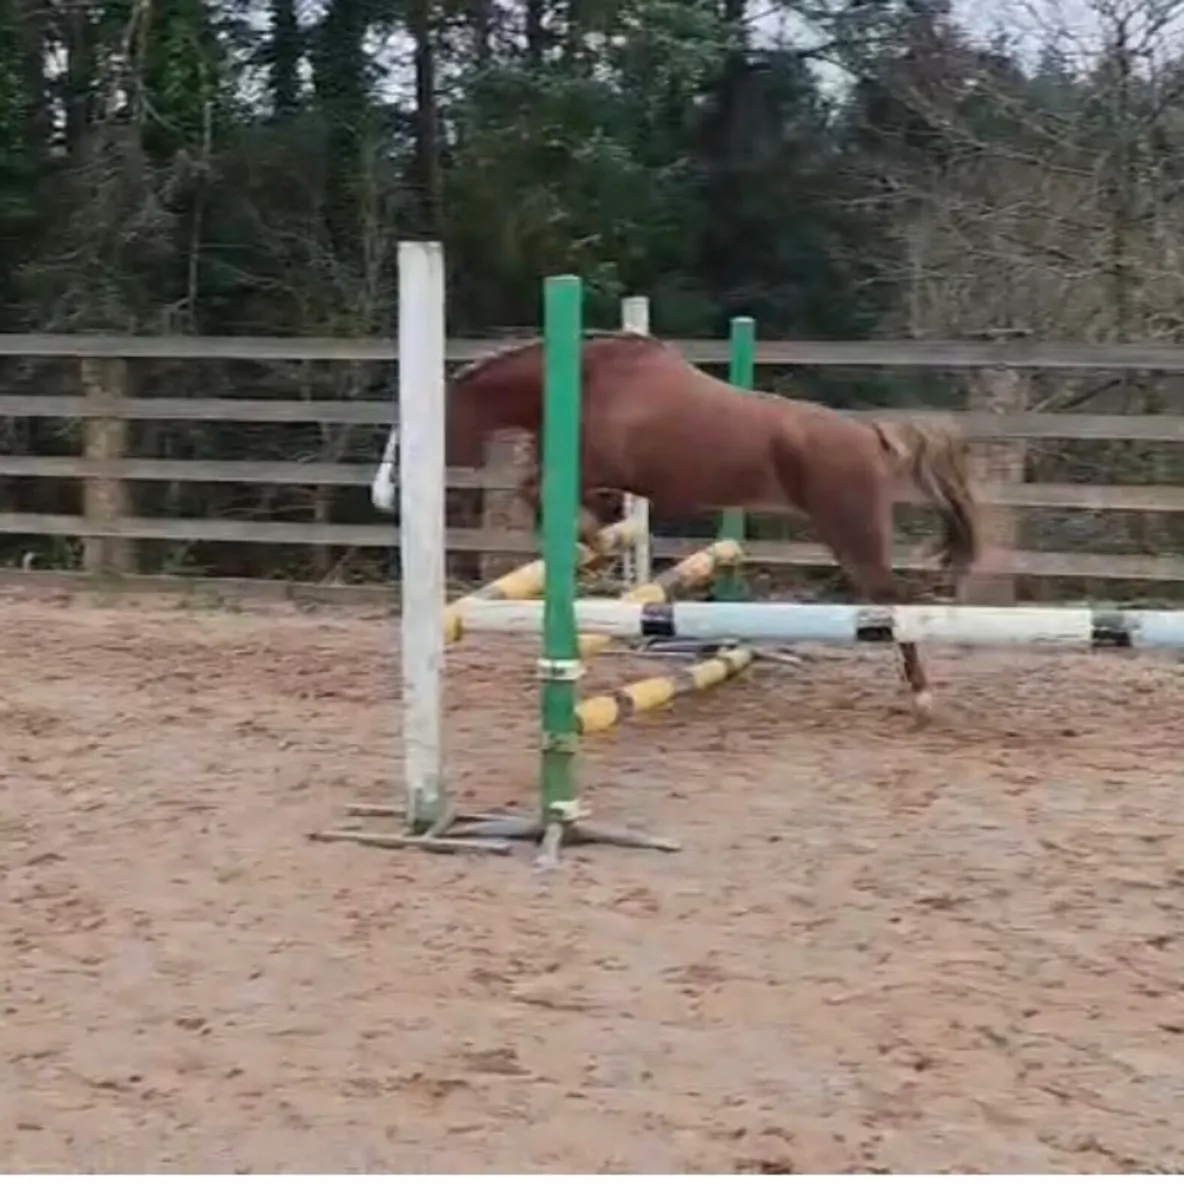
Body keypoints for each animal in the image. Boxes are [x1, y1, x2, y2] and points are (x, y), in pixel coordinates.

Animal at [445, 331, 981, 721]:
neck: (586, 380)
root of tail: (870, 434)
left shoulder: (602, 468)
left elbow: (537, 488)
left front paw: (588, 534)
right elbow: (541, 486)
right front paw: (592, 535)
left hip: (852, 532)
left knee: (894, 600)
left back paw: (922, 697)